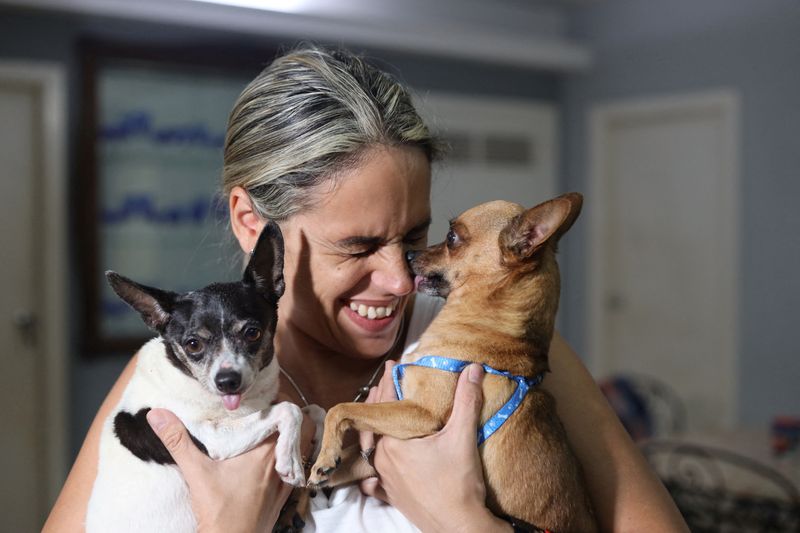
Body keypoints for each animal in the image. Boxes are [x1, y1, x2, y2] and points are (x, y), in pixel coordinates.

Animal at [85, 222, 316, 528]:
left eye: (252, 333)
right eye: (193, 344)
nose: (227, 381)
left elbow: (315, 410)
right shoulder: (214, 439)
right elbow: (291, 409)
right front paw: (291, 461)